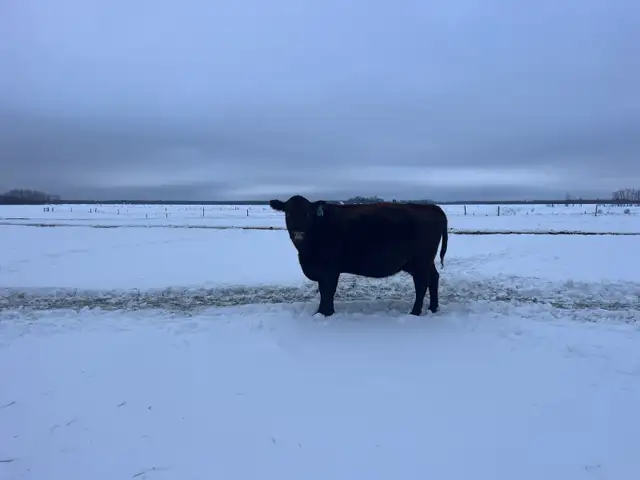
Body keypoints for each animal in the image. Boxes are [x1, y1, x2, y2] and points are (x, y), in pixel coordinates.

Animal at [269, 195, 448, 317]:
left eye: (307, 213)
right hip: (425, 262)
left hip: (420, 262)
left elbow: (327, 291)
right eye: (287, 214)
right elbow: (323, 291)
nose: (298, 234)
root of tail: (432, 207)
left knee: (422, 284)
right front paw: (322, 312)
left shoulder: (330, 269)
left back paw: (415, 312)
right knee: (433, 279)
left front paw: (325, 313)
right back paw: (433, 308)